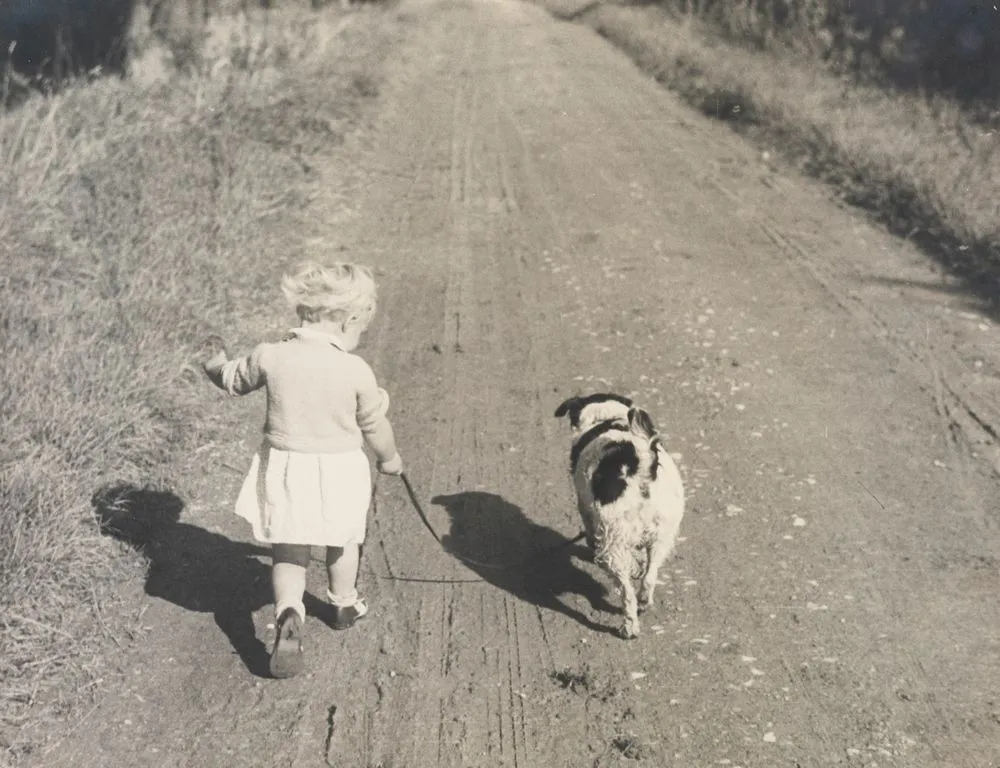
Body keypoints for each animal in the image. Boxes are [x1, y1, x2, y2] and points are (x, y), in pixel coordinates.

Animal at [556, 392, 688, 640]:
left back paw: (629, 627)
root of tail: (641, 465)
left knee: (627, 594)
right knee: (649, 576)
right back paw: (644, 600)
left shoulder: (585, 508)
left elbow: (589, 534)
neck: (606, 417)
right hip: (662, 536)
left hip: (613, 545)